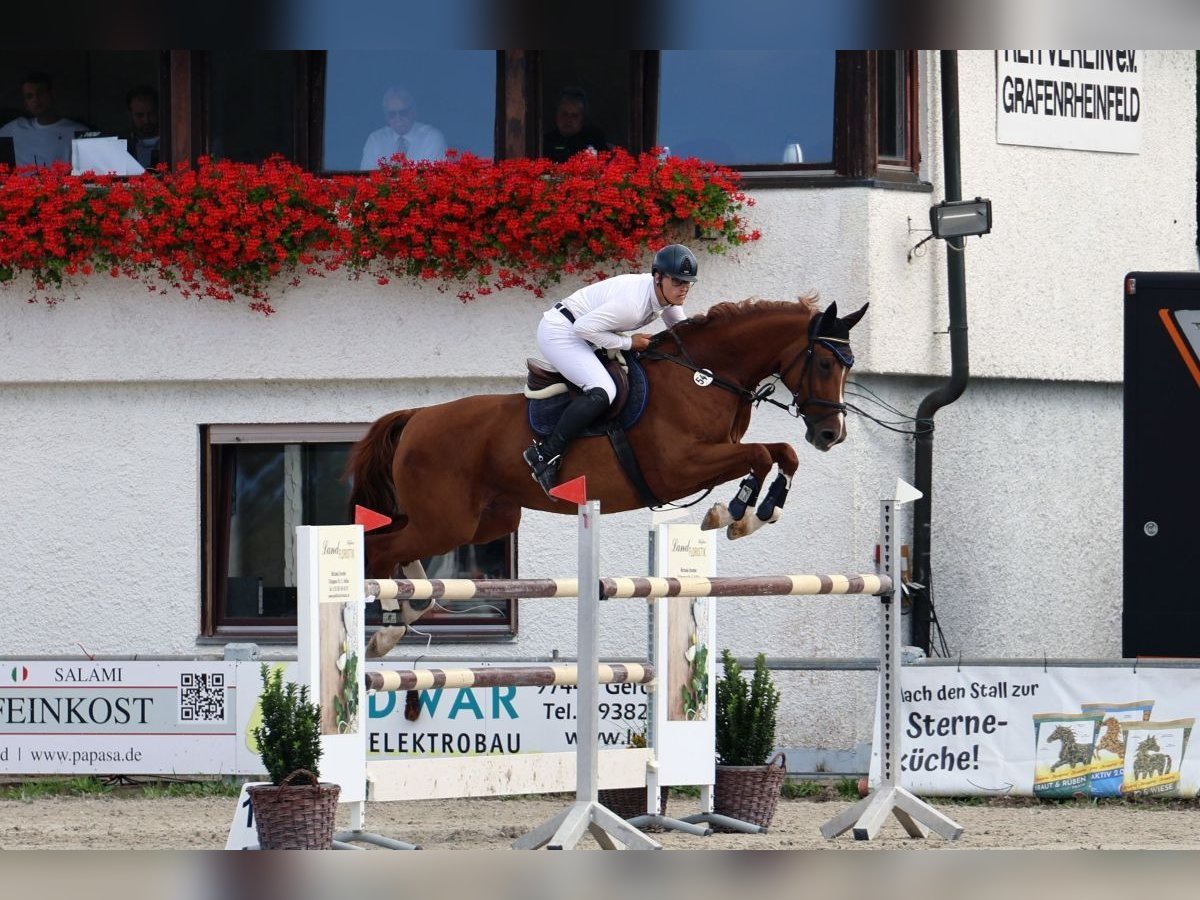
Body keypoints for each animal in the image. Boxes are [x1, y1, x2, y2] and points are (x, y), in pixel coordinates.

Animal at [345, 297, 864, 657]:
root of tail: (416, 417)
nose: (830, 434)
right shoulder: (679, 468)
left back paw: (410, 610)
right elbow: (758, 455)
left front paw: (758, 513)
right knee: (383, 548)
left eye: (849, 366)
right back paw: (388, 626)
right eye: (823, 362)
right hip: (447, 519)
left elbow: (783, 454)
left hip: (483, 521)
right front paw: (732, 512)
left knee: (402, 547)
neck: (704, 376)